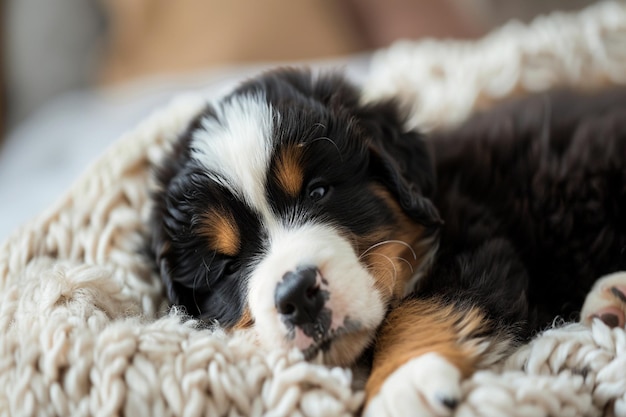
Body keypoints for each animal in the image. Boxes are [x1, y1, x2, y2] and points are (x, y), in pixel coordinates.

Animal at [150, 69, 624, 416]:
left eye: (318, 192)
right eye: (227, 266)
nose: (297, 296)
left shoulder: (473, 238)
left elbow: (416, 307)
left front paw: (402, 384)